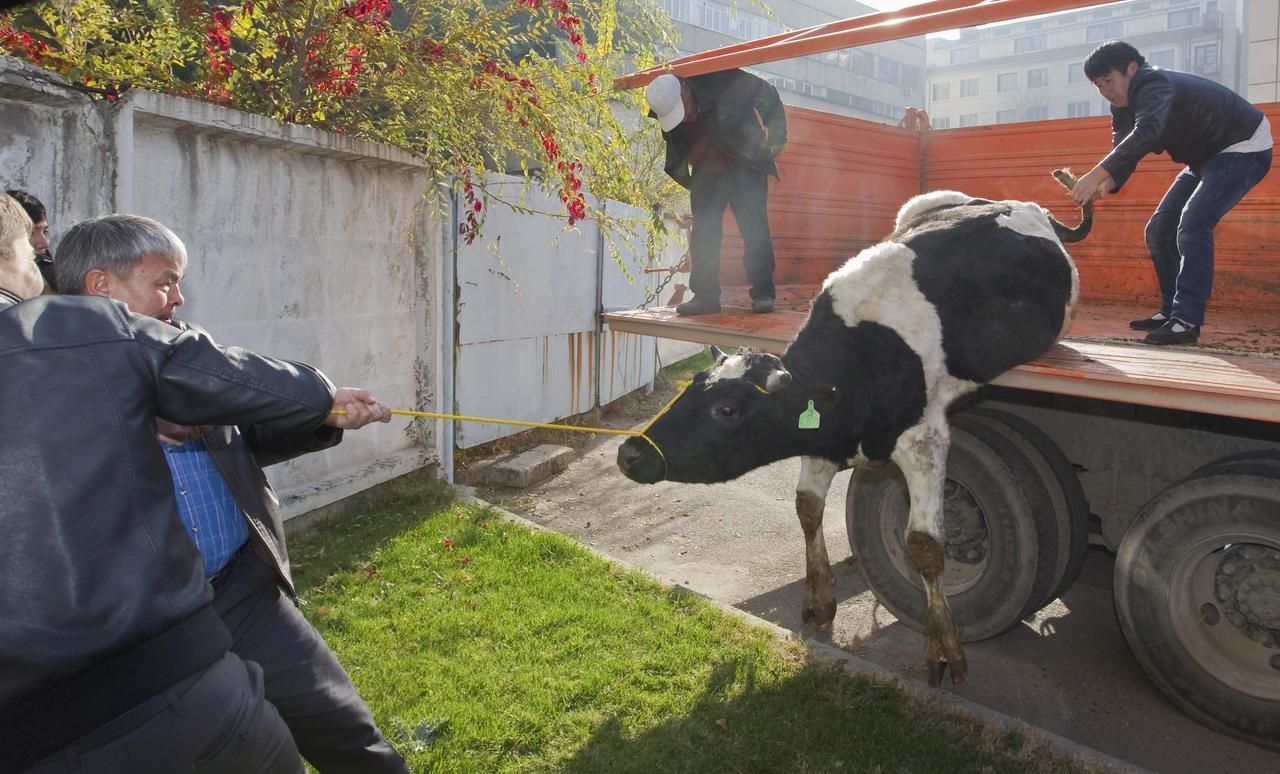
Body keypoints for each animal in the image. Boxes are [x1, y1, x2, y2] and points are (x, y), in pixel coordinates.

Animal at [616, 168, 1090, 680]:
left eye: (727, 410)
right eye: (690, 387)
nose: (630, 452)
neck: (858, 360)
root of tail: (1023, 206)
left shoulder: (926, 439)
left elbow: (924, 546)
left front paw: (945, 648)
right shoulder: (822, 438)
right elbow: (807, 509)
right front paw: (820, 602)